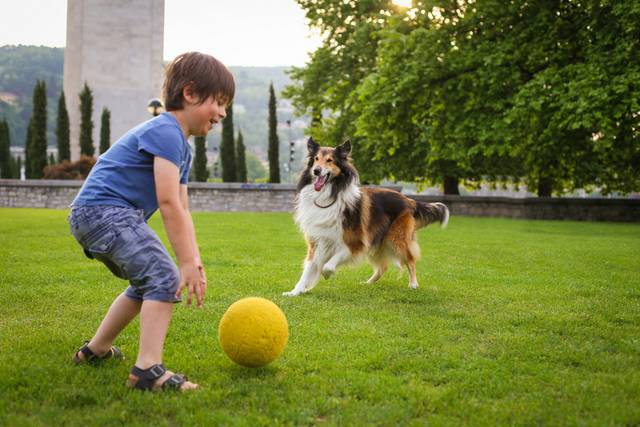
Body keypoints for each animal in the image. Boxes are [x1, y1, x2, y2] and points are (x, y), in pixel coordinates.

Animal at [284, 139, 450, 296]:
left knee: (410, 260)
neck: (329, 195)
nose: (316, 170)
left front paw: (326, 274)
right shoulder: (318, 242)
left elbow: (329, 264)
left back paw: (413, 284)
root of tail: (409, 200)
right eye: (316, 159)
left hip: (397, 240)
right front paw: (295, 291)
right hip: (377, 242)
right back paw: (368, 283)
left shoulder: (355, 243)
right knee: (383, 267)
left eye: (330, 160)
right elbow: (308, 270)